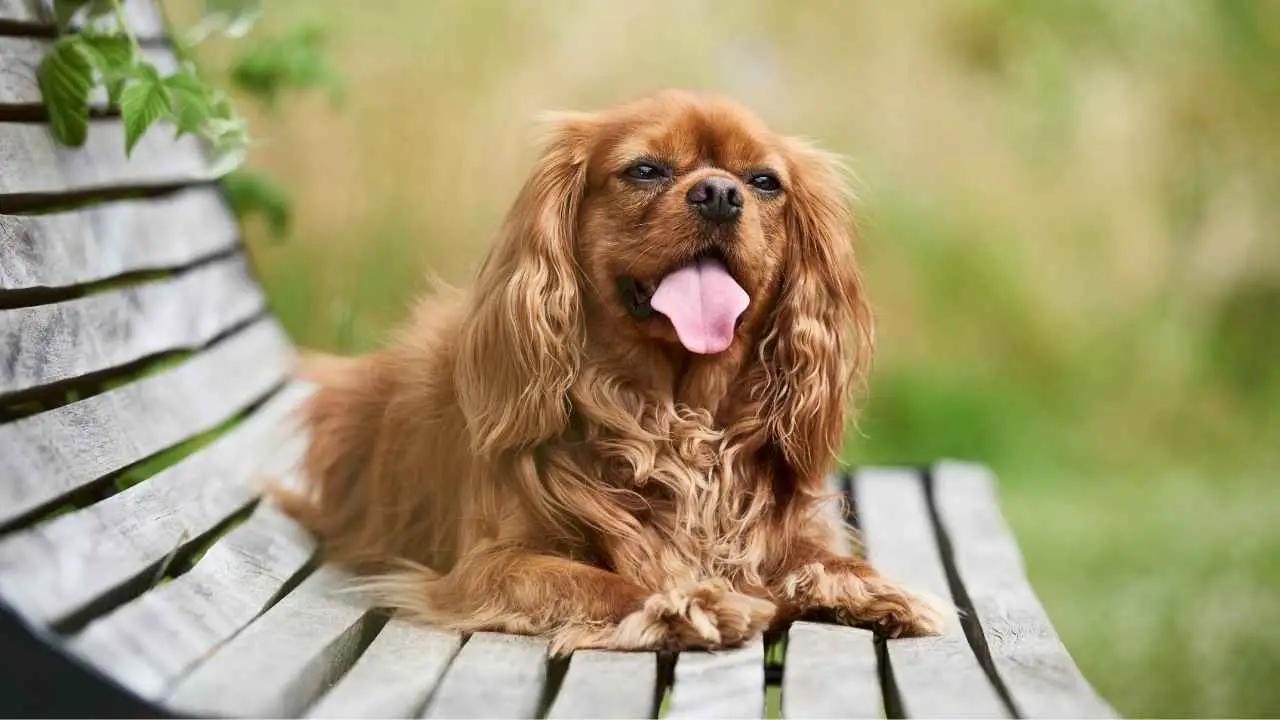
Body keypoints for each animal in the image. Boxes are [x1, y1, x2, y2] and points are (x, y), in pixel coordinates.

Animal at [275, 87, 947, 648]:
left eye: (763, 182)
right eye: (645, 170)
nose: (719, 193)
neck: (678, 414)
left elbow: (821, 556)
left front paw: (869, 586)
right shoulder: (489, 566)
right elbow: (595, 581)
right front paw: (684, 604)